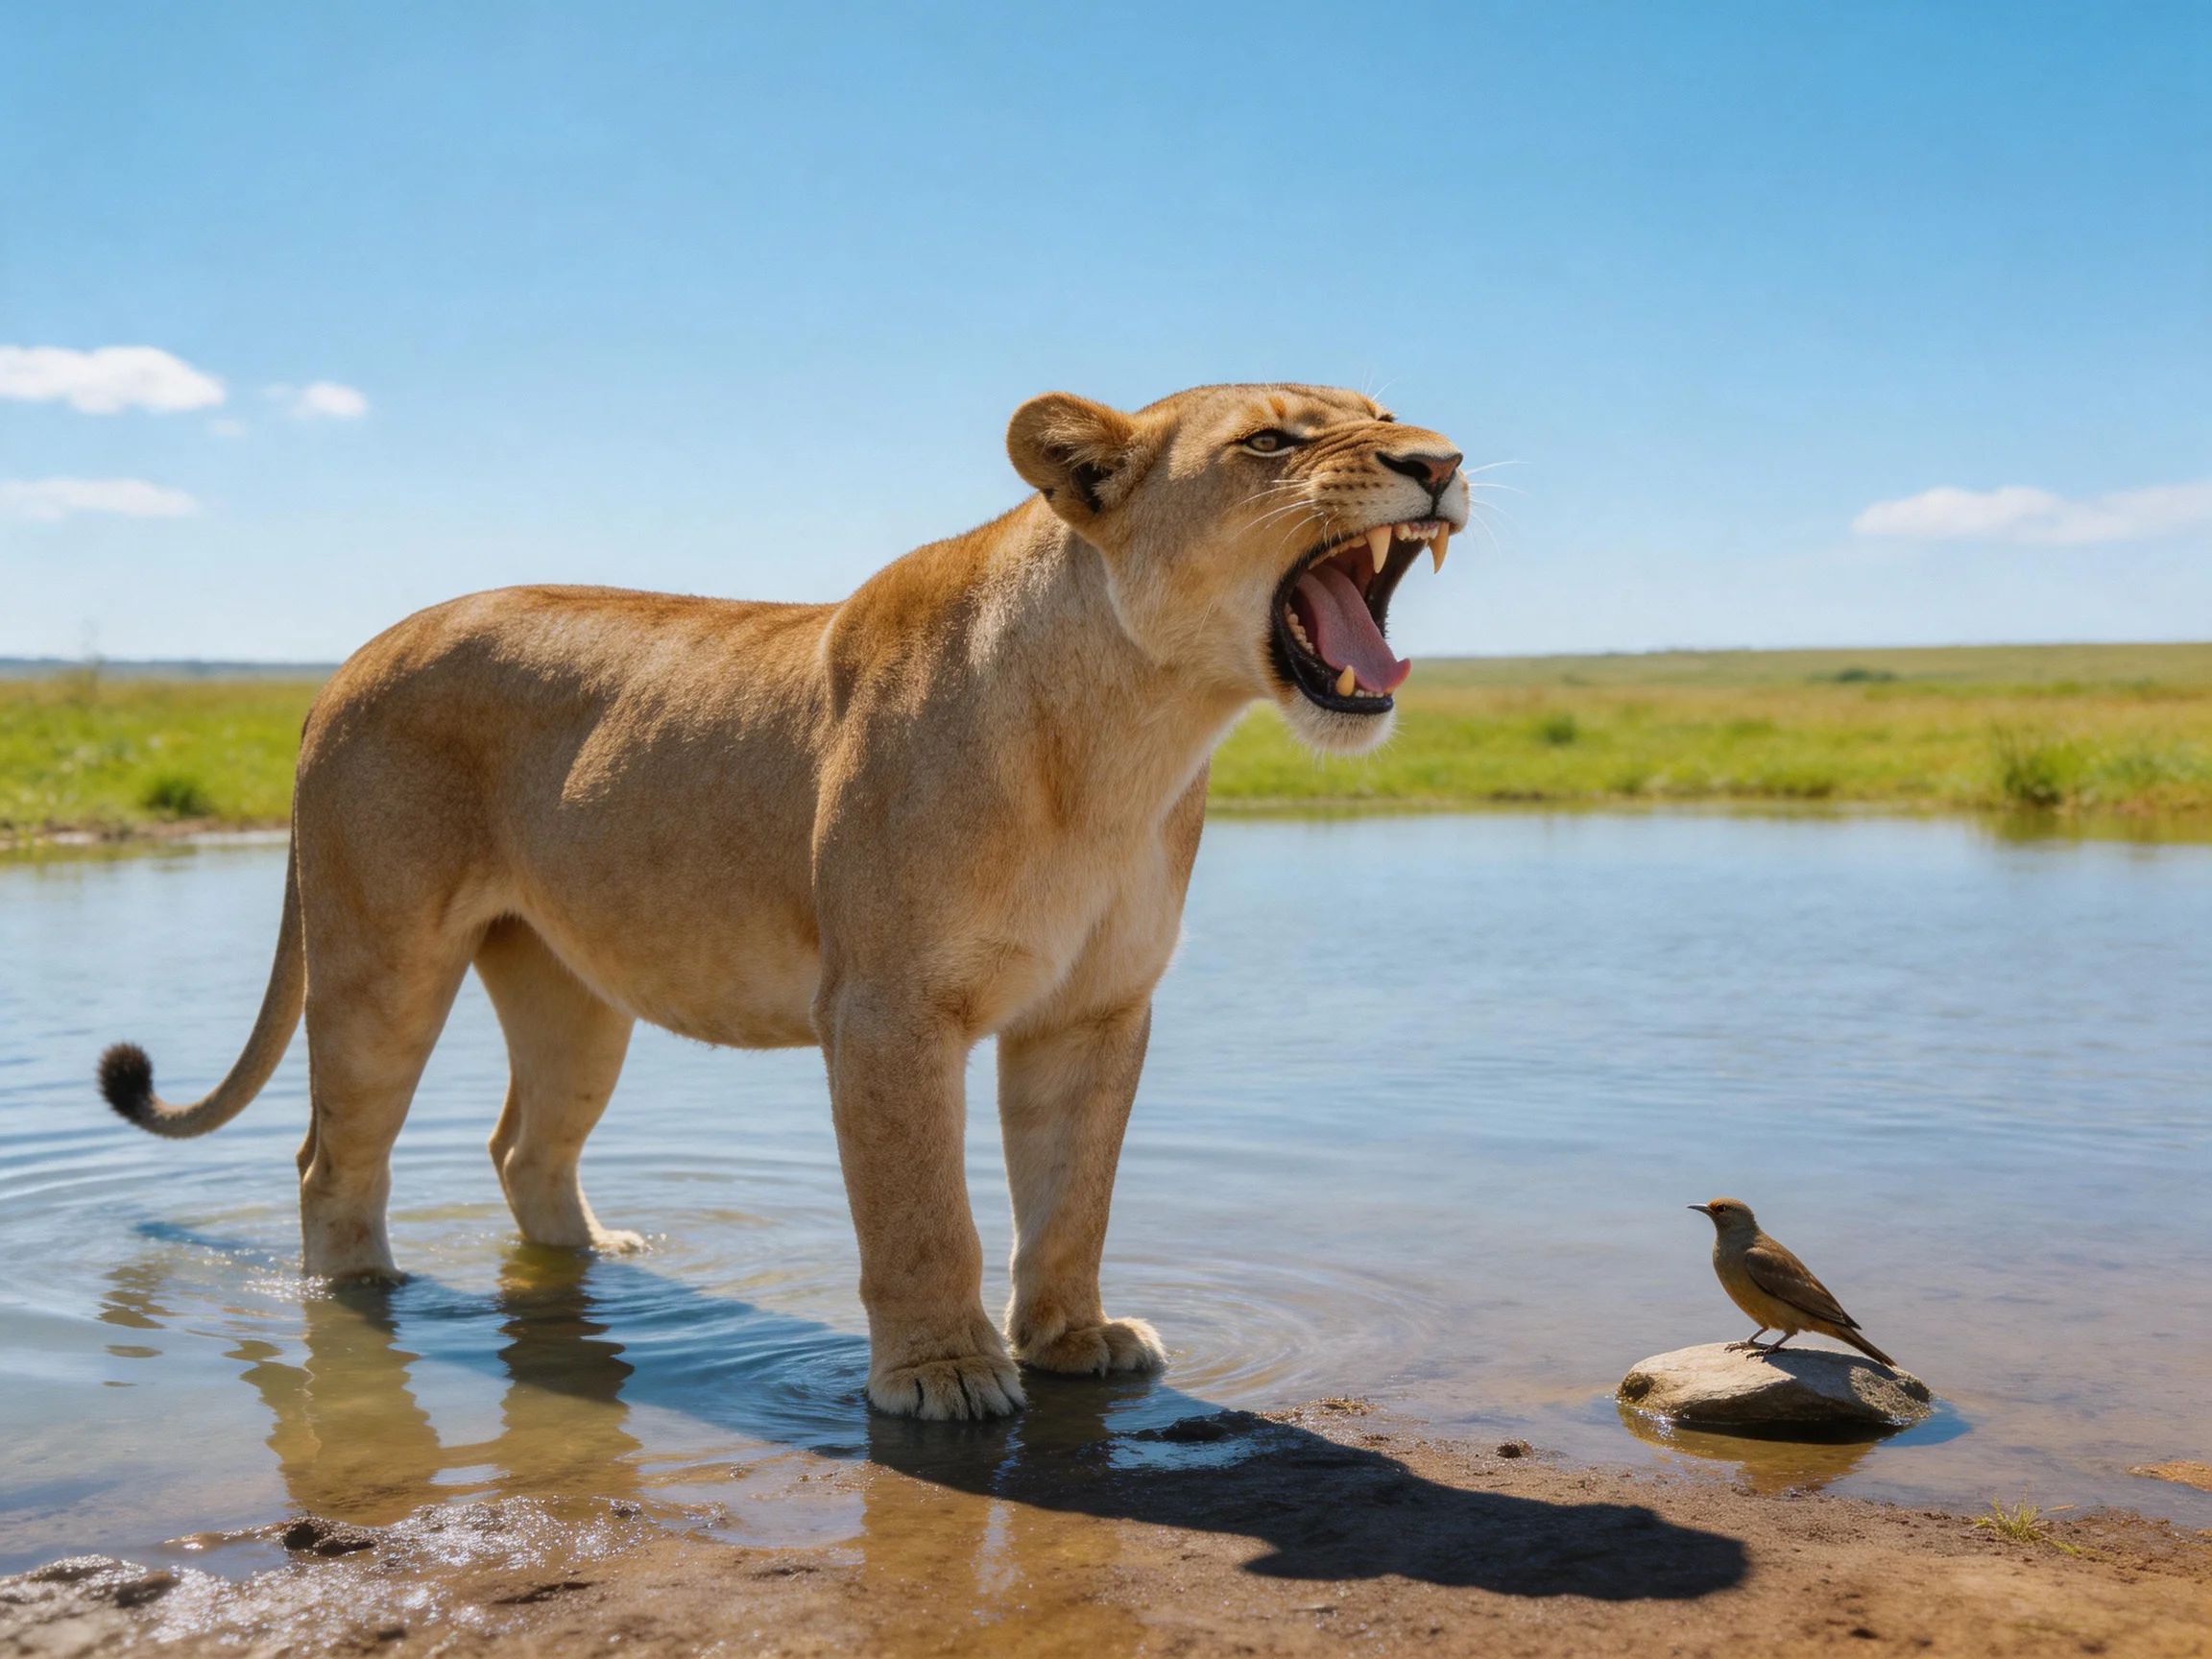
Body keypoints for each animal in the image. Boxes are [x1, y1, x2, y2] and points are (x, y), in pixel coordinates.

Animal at [98, 382, 1469, 1419]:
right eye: (1273, 442)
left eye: (1385, 412)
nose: (1442, 460)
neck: (1133, 733)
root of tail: (346, 662)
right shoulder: (886, 1010)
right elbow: (923, 1211)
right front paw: (944, 1374)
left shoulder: (1095, 1011)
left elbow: (1071, 1196)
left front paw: (1073, 1340)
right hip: (382, 958)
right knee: (334, 1154)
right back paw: (362, 1300)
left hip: (573, 990)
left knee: (524, 1143)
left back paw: (594, 1259)